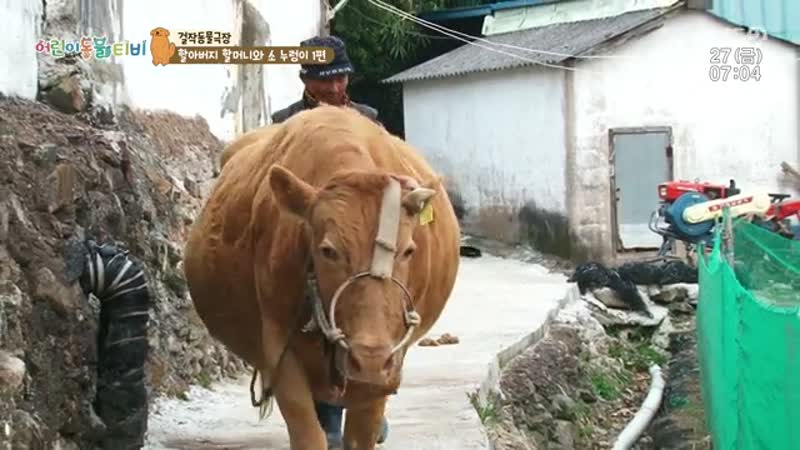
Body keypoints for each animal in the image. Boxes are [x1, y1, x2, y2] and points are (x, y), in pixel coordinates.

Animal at [183, 105, 461, 450]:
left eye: (409, 250)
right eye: (328, 250)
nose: (368, 357)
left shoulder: (389, 356)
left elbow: (362, 430)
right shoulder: (278, 343)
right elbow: (306, 429)